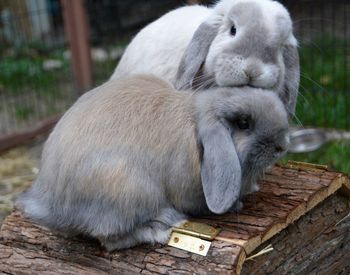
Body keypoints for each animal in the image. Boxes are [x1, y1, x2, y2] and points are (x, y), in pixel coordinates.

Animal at [17, 75, 290, 252]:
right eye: (244, 123)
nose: (282, 145)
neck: (196, 123)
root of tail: (53, 207)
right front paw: (236, 204)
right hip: (129, 188)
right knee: (111, 240)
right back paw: (162, 227)